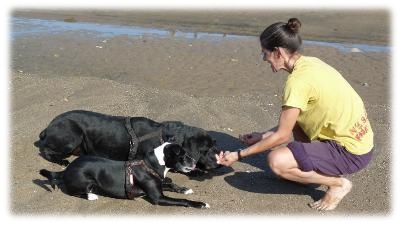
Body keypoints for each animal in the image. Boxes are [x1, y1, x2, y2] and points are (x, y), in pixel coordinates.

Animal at [35, 110, 219, 173]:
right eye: (205, 149)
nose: (217, 164)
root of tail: (48, 127)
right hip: (73, 135)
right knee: (45, 150)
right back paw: (61, 161)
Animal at [39, 142, 211, 209]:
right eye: (182, 155)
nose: (194, 162)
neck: (152, 164)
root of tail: (67, 169)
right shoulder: (158, 198)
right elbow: (182, 201)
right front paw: (200, 204)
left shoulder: (159, 184)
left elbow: (170, 183)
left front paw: (184, 189)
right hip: (85, 180)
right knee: (72, 191)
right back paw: (91, 196)